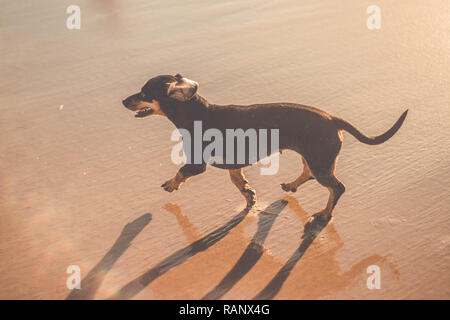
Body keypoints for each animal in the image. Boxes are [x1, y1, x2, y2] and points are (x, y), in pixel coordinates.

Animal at [122, 73, 408, 221]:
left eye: (144, 93)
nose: (124, 101)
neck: (196, 112)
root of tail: (333, 118)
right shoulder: (233, 165)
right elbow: (239, 183)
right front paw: (249, 196)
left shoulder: (197, 164)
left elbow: (181, 171)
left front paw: (172, 184)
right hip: (314, 157)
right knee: (309, 174)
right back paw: (291, 185)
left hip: (320, 161)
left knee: (337, 188)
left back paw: (324, 214)